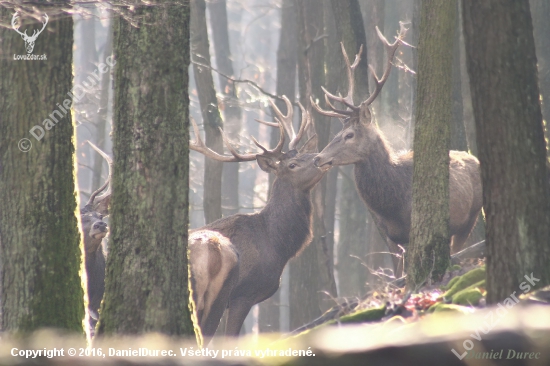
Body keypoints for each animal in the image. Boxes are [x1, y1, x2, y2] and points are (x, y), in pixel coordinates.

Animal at [312, 25, 486, 272]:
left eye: (349, 135)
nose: (317, 158)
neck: (392, 206)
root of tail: (475, 158)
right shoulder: (393, 238)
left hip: (470, 217)